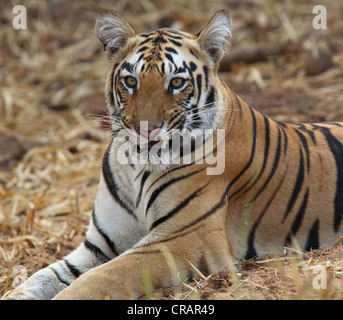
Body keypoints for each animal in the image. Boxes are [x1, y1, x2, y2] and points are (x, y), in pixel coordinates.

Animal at [4, 9, 343, 300]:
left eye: (177, 82)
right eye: (131, 81)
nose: (146, 130)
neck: (135, 166)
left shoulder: (183, 239)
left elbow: (103, 277)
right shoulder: (99, 245)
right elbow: (42, 277)